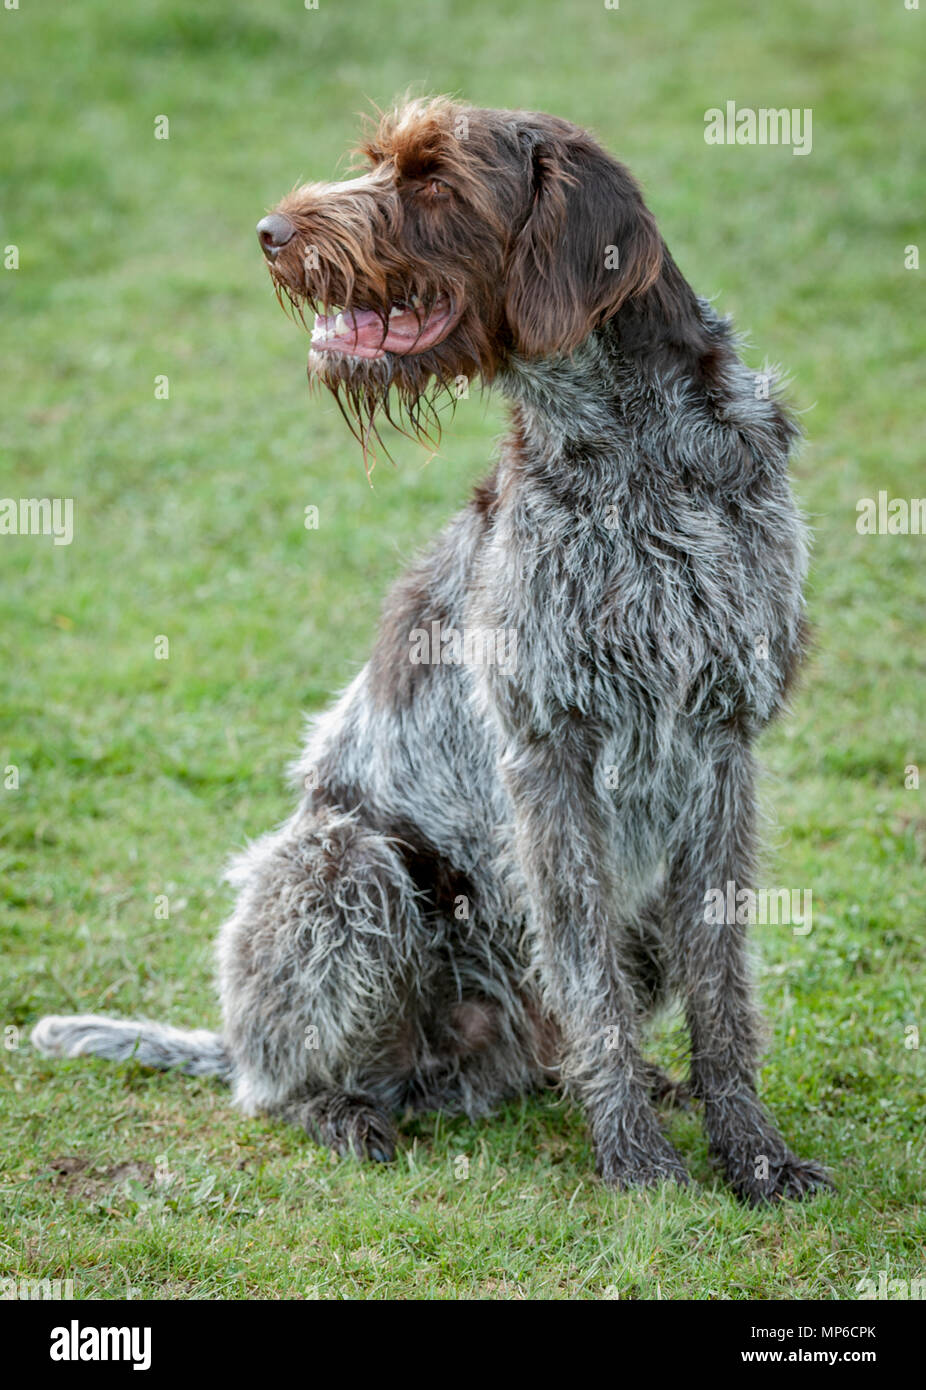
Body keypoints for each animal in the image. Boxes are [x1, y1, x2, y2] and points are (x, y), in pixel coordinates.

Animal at [34, 95, 828, 1206]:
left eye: (434, 178)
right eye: (379, 159)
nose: (271, 233)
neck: (634, 453)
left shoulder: (721, 742)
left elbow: (721, 991)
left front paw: (750, 1152)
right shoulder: (549, 752)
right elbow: (587, 980)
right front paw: (634, 1160)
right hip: (344, 864)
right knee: (283, 1082)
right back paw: (343, 1110)